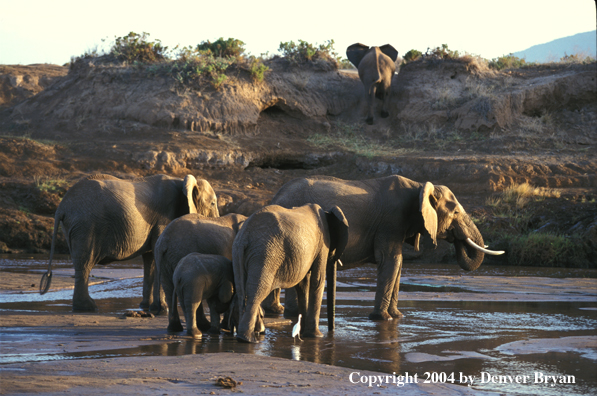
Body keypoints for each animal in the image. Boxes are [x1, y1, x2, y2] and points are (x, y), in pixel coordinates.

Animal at [40, 173, 220, 312]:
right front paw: (162, 309)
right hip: (85, 225)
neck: (182, 181)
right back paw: (88, 308)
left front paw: (147, 307)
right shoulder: (164, 218)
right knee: (84, 262)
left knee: (81, 262)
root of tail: (61, 207)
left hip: (75, 226)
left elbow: (150, 259)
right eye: (212, 203)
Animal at [230, 204, 346, 344]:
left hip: (238, 252)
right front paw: (316, 336)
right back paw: (249, 340)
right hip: (265, 254)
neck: (327, 212)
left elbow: (302, 285)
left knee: (241, 290)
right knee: (256, 291)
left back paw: (243, 337)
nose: (331, 332)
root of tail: (245, 234)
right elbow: (317, 280)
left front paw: (304, 332)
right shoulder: (322, 244)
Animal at [268, 176, 506, 322]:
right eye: (455, 212)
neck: (419, 186)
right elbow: (391, 260)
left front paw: (397, 316)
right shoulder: (391, 221)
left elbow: (398, 264)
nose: (457, 239)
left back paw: (282, 312)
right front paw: (383, 319)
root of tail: (275, 197)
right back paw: (291, 313)